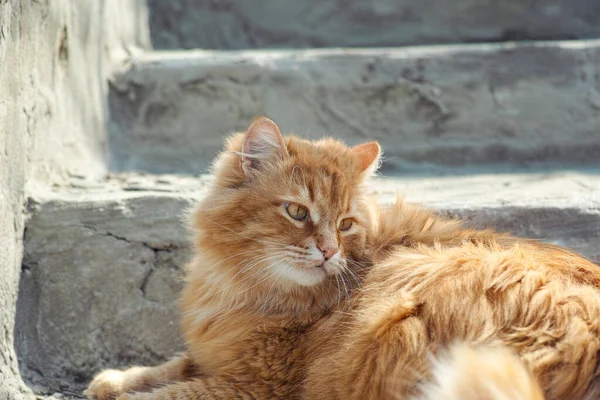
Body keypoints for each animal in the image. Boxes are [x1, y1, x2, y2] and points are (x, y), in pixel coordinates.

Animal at [88, 117, 600, 398]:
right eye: (298, 212)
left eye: (346, 224)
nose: (329, 249)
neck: (239, 288)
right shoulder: (216, 356)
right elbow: (168, 368)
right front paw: (111, 380)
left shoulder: (255, 385)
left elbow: (168, 393)